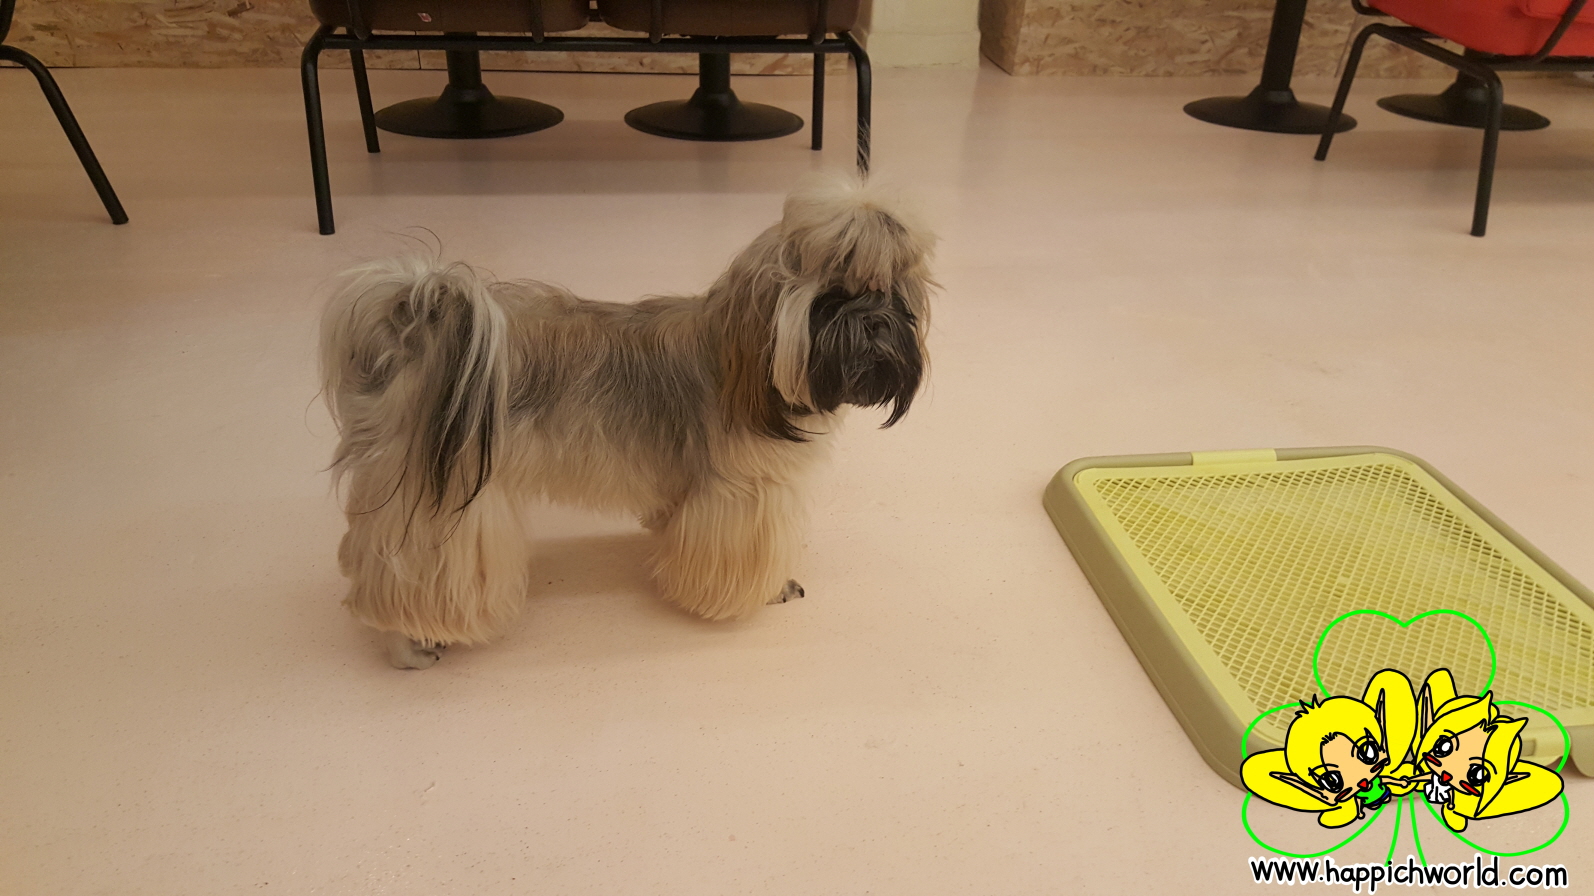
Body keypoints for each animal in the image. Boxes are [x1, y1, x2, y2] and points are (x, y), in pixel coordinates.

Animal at [320, 177, 934, 668]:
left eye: (891, 296)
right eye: (832, 299)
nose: (878, 320)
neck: (746, 362)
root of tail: (411, 326)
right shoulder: (742, 495)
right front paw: (768, 590)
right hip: (439, 500)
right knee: (397, 583)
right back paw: (410, 646)